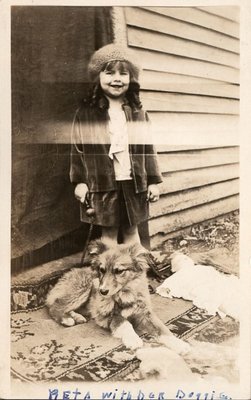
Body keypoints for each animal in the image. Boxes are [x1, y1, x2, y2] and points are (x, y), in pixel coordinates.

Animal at [46, 239, 189, 352]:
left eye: (119, 271)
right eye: (102, 270)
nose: (102, 291)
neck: (125, 293)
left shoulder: (146, 313)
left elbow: (163, 330)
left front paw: (180, 345)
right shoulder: (108, 316)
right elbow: (125, 323)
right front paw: (133, 339)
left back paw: (77, 317)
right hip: (83, 287)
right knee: (55, 305)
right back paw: (67, 319)